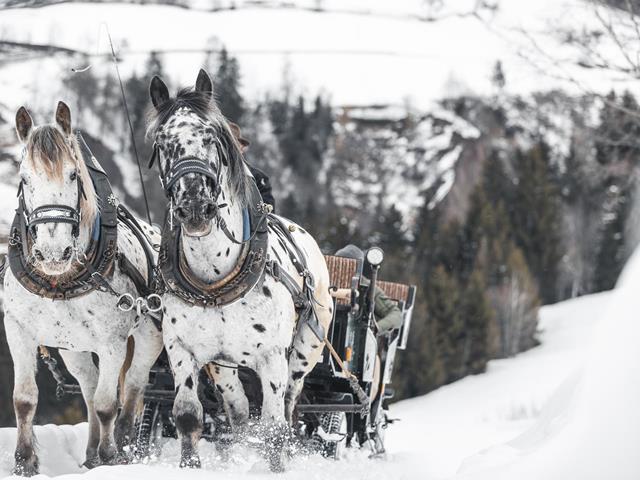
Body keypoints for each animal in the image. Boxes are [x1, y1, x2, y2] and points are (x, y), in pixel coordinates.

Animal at [3, 103, 162, 474]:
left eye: (74, 175)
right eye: (24, 178)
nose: (52, 252)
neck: (60, 279)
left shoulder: (113, 340)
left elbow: (107, 403)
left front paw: (111, 456)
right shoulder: (17, 330)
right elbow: (24, 399)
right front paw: (24, 462)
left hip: (148, 338)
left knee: (133, 386)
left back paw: (126, 443)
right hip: (73, 346)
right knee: (88, 385)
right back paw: (91, 451)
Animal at [147, 69, 332, 470]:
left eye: (211, 137)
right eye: (163, 142)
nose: (195, 207)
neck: (215, 278)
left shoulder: (272, 357)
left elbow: (275, 428)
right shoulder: (182, 350)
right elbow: (189, 416)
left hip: (306, 349)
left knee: (289, 406)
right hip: (224, 366)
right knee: (239, 413)